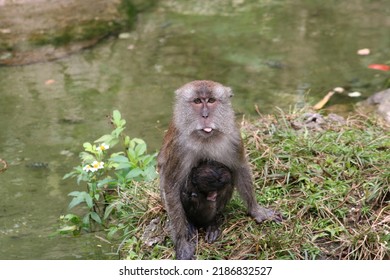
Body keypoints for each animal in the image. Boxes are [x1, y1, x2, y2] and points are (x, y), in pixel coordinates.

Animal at [157, 80, 282, 260]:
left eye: (210, 101)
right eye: (197, 101)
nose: (205, 116)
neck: (206, 138)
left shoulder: (234, 137)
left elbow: (239, 168)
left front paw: (256, 210)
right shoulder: (179, 146)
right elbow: (170, 185)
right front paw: (181, 241)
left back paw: (212, 223)